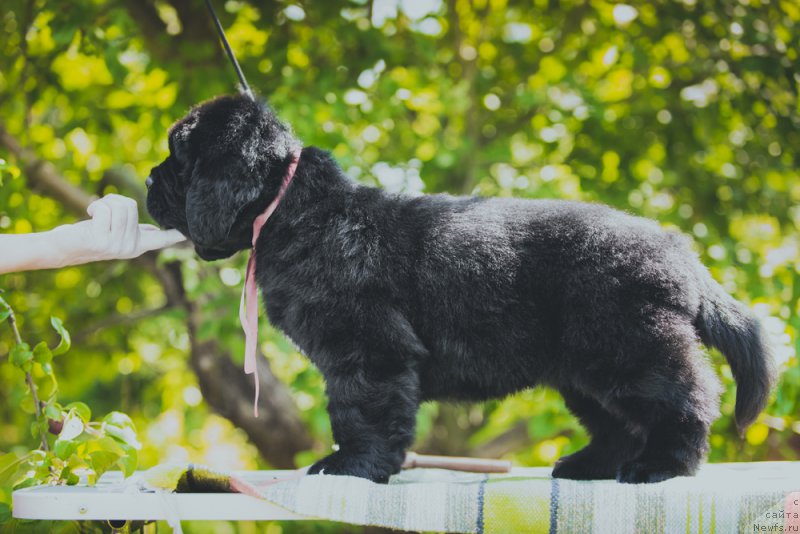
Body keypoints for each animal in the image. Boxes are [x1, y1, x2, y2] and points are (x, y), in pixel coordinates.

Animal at [147, 95, 780, 486]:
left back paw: (661, 466)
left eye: (178, 155)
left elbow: (359, 412)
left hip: (632, 347)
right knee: (617, 424)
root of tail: (680, 253)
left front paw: (351, 466)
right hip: (583, 369)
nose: (150, 180)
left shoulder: (369, 350)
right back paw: (586, 464)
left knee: (685, 401)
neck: (296, 211)